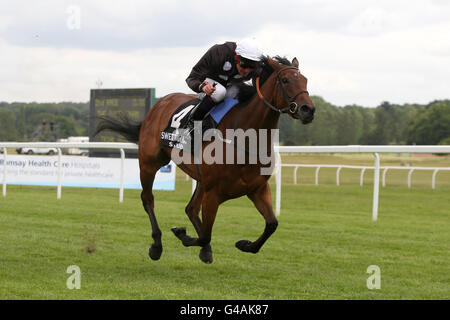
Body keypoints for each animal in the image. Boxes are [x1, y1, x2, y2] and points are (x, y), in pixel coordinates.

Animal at [96, 56, 314, 264]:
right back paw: (157, 245)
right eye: (285, 80)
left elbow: (272, 224)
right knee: (148, 199)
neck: (245, 139)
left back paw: (205, 250)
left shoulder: (257, 188)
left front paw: (245, 244)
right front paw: (182, 234)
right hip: (149, 164)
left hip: (200, 179)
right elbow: (205, 235)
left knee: (191, 209)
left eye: (305, 80)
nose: (308, 110)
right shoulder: (213, 193)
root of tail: (159, 103)